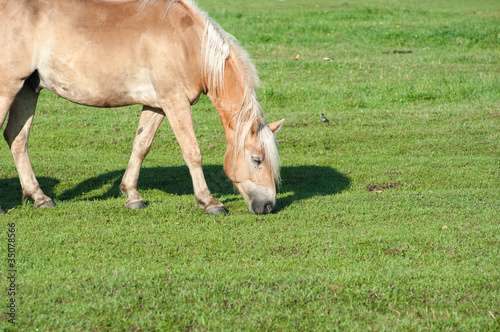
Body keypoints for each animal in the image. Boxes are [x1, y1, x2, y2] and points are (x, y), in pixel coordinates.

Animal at [0, 0, 284, 215]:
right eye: (257, 159)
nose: (268, 206)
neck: (188, 44)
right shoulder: (175, 102)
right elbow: (192, 151)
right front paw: (209, 202)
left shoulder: (156, 105)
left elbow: (141, 145)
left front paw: (132, 196)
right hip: (8, 87)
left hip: (28, 89)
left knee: (17, 138)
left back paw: (40, 197)